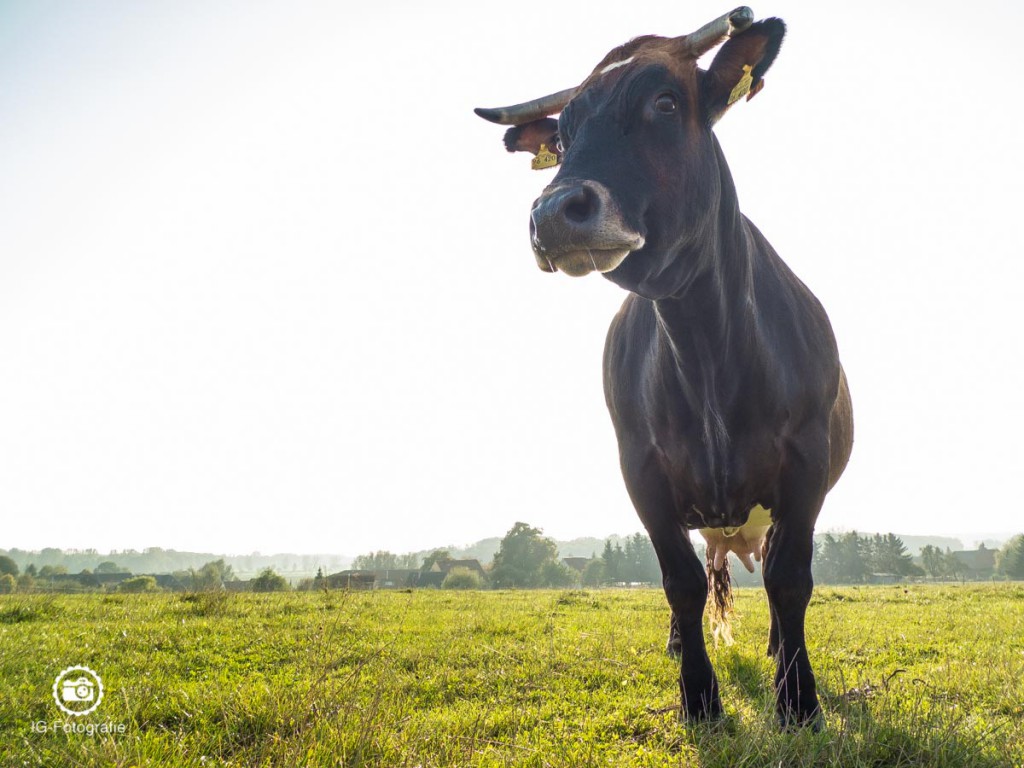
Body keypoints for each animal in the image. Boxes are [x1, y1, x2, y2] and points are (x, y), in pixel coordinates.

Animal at [479, 7, 856, 729]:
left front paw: (798, 699)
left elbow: (790, 578)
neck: (702, 339)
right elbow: (678, 581)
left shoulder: (805, 461)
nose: (552, 212)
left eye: (665, 102)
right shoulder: (642, 468)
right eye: (562, 135)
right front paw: (699, 699)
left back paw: (775, 649)